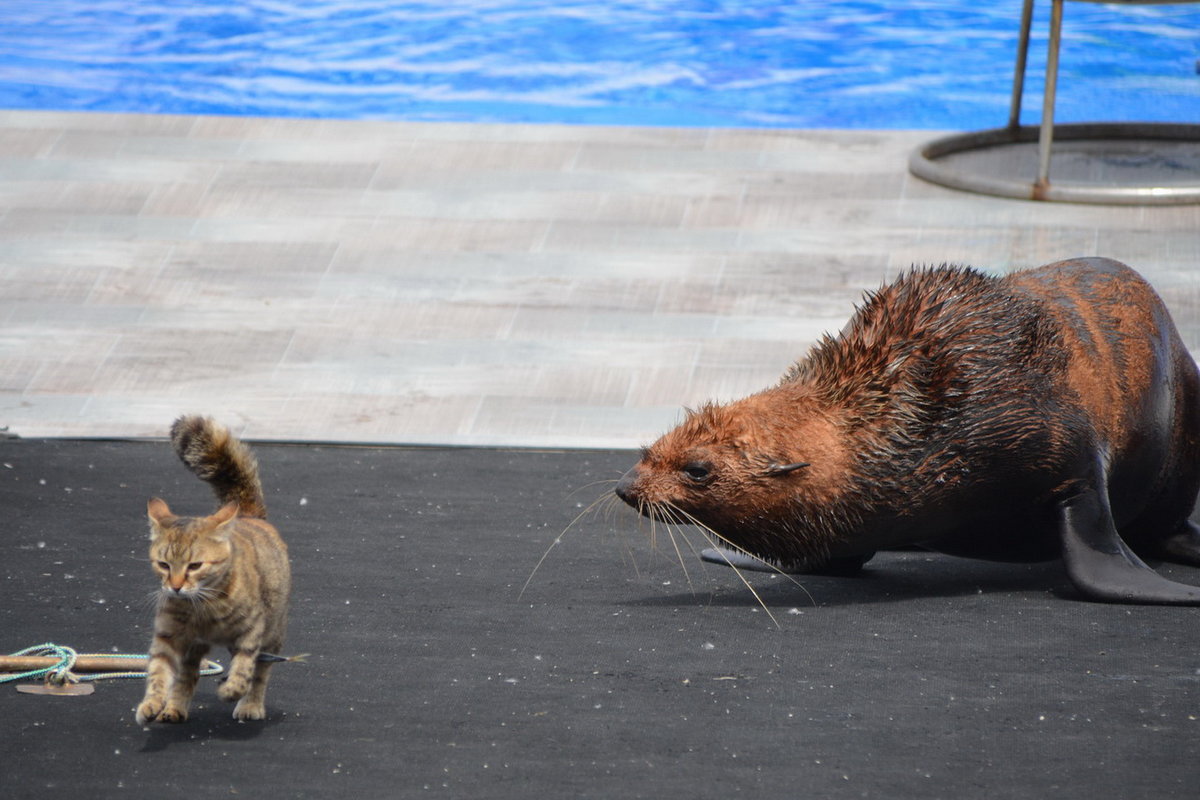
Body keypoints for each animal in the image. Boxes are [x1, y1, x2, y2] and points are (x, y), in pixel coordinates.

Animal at [135, 417, 290, 724]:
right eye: (164, 565)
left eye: (195, 566)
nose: (175, 586)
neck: (202, 608)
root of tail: (248, 515)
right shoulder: (169, 636)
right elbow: (159, 672)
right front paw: (152, 702)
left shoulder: (252, 631)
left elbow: (245, 668)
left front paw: (233, 690)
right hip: (193, 648)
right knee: (187, 676)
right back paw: (174, 708)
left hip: (273, 631)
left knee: (261, 670)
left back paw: (250, 704)